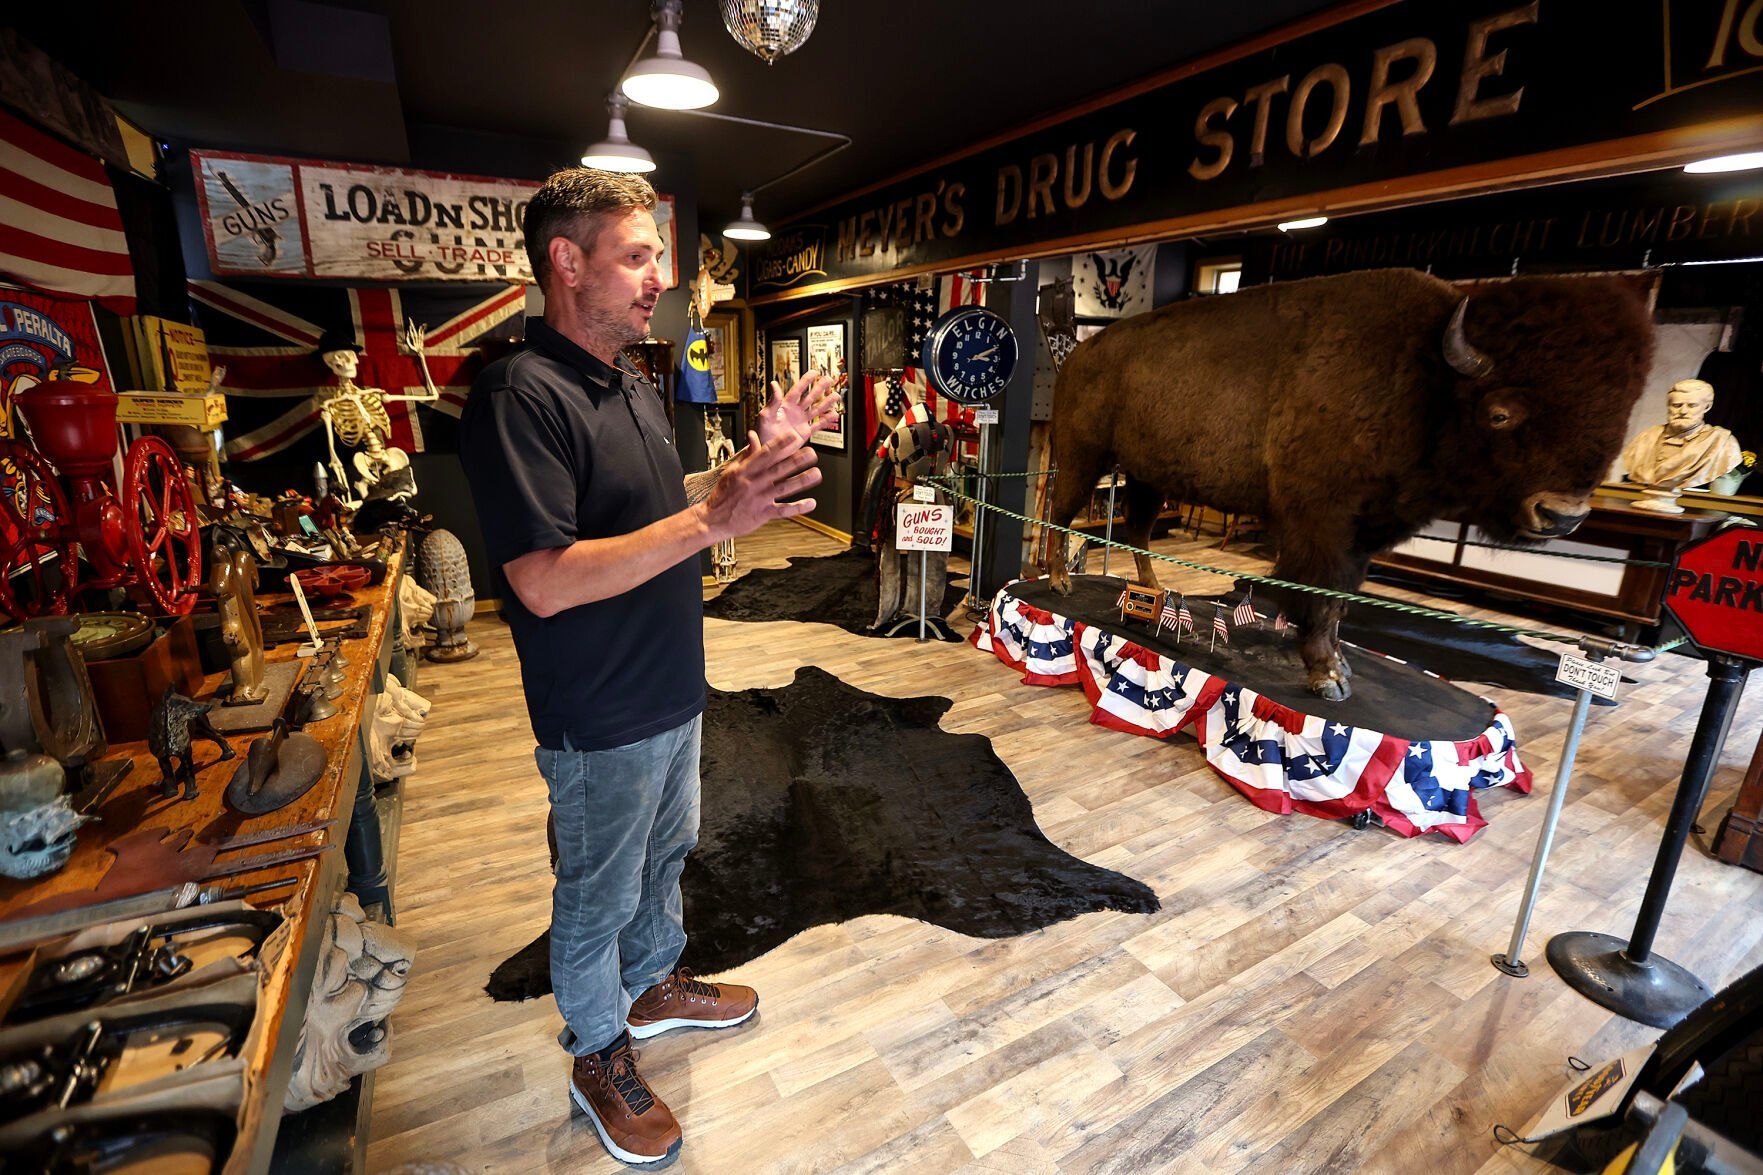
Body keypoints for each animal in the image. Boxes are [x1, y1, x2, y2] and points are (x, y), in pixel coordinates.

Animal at [1050, 268, 1657, 695]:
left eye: (1621, 411)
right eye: (1500, 413)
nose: (1562, 515)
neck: (1424, 375)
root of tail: (1079, 354)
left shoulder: (1368, 530)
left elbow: (1343, 600)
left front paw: (1342, 665)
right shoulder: (1324, 524)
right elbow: (1321, 598)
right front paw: (1327, 677)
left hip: (1148, 474)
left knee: (1138, 529)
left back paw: (1152, 592)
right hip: (1084, 455)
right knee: (1062, 512)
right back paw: (1060, 583)